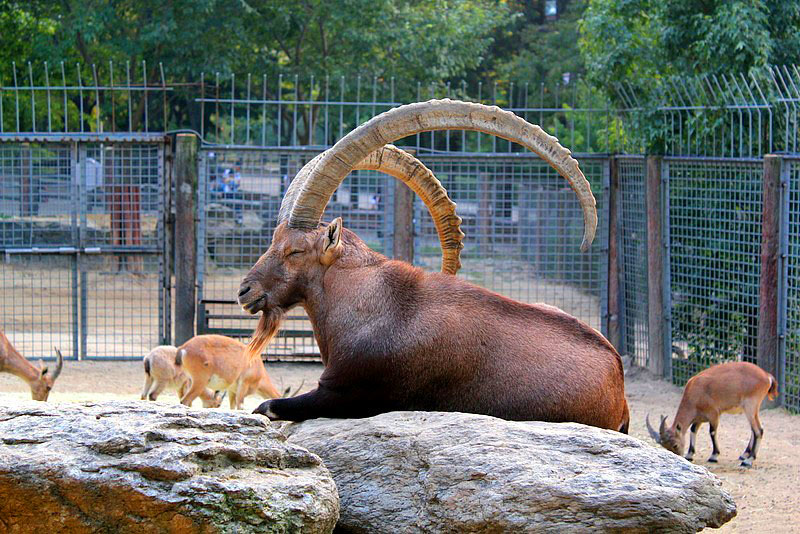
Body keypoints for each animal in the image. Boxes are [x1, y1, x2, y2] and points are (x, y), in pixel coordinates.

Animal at [241, 100, 628, 434]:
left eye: (295, 250)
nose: (246, 291)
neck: (369, 305)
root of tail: (619, 383)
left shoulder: (349, 394)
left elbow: (268, 406)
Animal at [648, 364, 780, 468]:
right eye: (666, 447)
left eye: (675, 444)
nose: (678, 457)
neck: (695, 393)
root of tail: (767, 376)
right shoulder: (699, 417)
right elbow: (693, 430)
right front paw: (689, 455)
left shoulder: (714, 414)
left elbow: (712, 432)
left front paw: (714, 456)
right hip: (751, 409)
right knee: (753, 429)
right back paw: (744, 455)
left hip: (751, 405)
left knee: (758, 430)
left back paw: (748, 461)